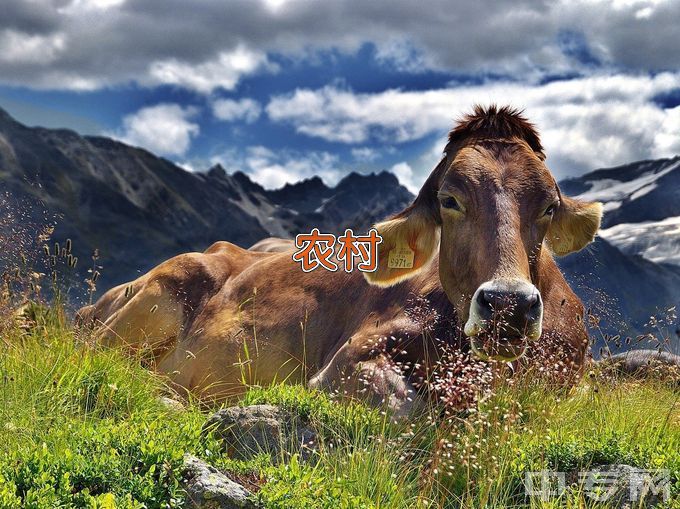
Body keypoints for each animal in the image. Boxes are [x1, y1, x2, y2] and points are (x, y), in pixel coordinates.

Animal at [77, 105, 604, 414]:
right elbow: (406, 407)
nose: (508, 305)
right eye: (450, 199)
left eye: (549, 205)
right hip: (161, 291)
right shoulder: (346, 362)